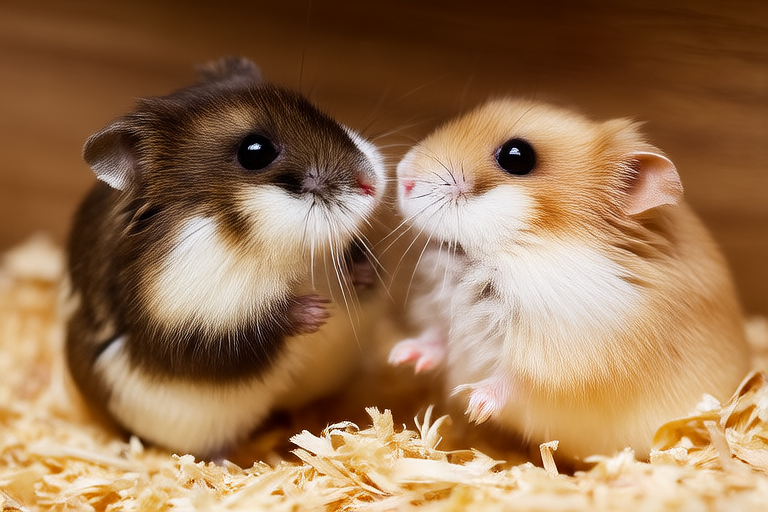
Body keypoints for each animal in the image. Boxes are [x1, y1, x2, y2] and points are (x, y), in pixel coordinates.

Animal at [64, 58, 386, 457]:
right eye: (255, 152)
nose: (371, 183)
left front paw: (360, 276)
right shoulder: (192, 321)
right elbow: (253, 328)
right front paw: (317, 311)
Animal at [388, 98, 751, 461]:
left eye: (516, 156)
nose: (402, 177)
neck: (510, 252)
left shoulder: (568, 362)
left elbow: (519, 380)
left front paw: (475, 403)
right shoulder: (445, 314)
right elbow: (438, 338)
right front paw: (401, 356)